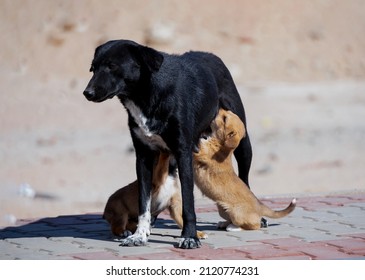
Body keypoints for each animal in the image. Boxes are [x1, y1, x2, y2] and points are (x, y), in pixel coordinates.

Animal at [83, 40, 252, 249]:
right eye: (93, 68)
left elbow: (188, 203)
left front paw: (189, 236)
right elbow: (143, 201)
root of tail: (209, 55)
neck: (146, 95)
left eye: (112, 66)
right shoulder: (143, 157)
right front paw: (140, 234)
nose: (87, 93)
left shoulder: (183, 153)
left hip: (243, 141)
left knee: (245, 178)